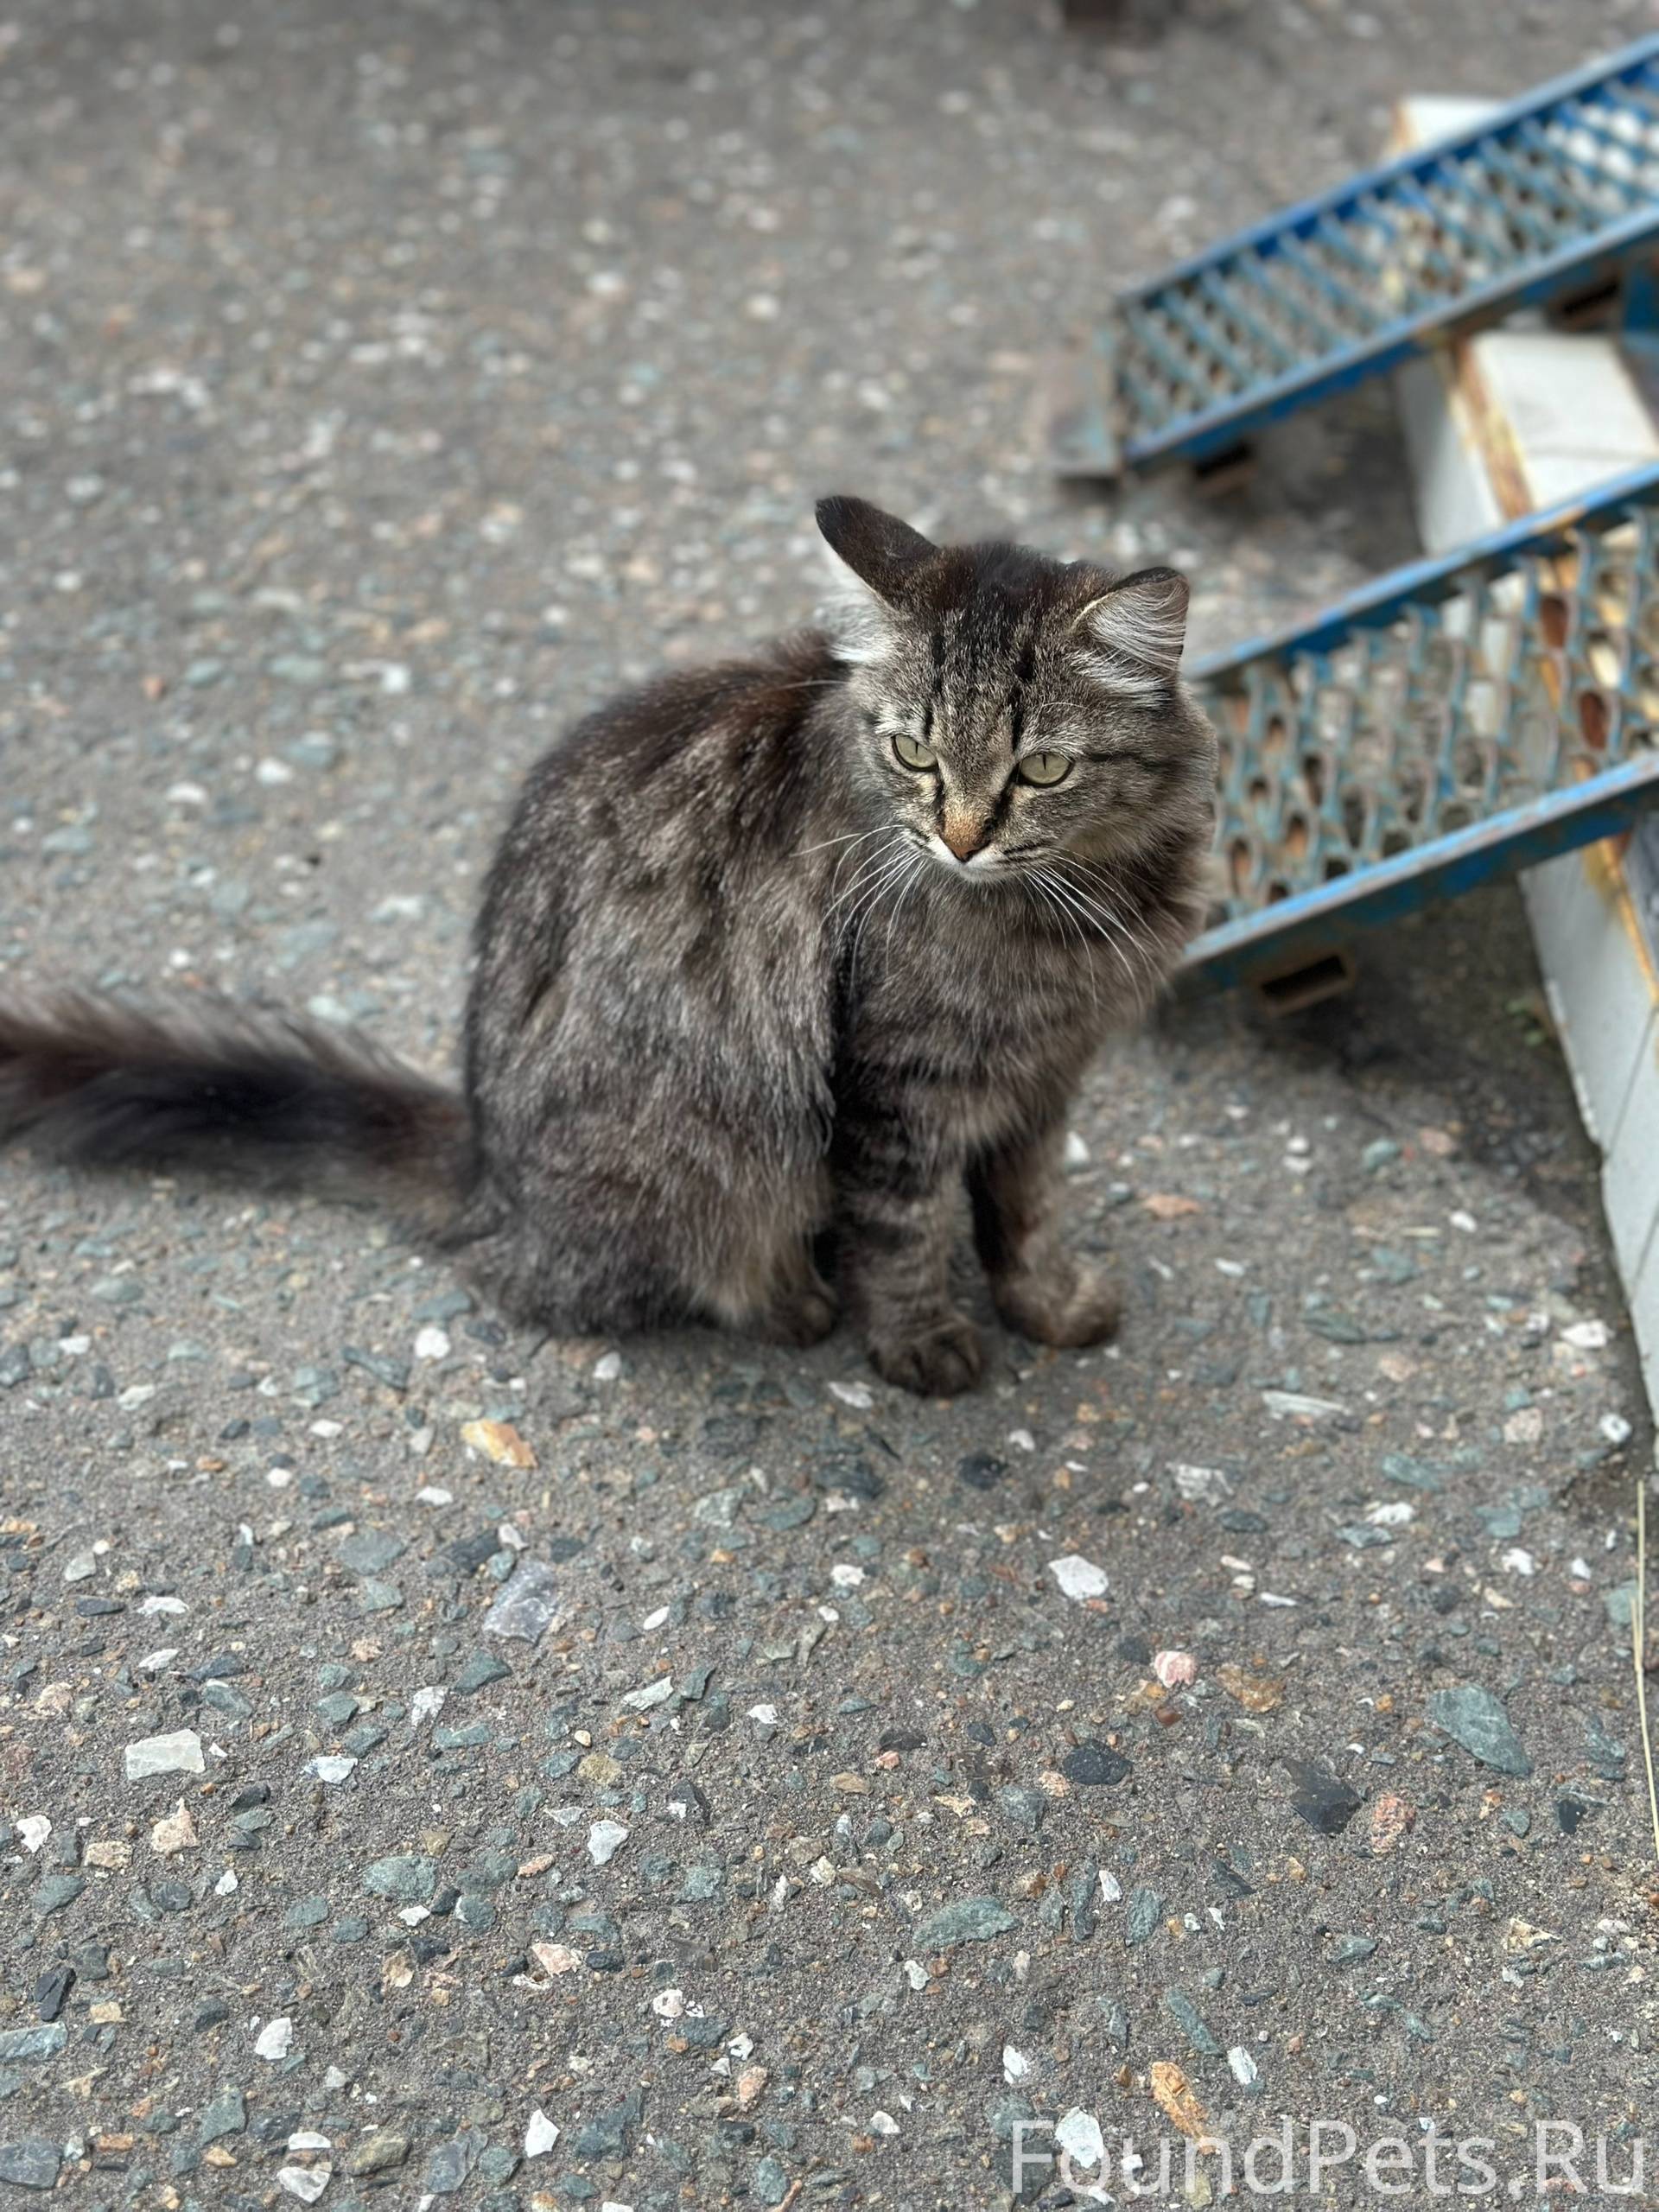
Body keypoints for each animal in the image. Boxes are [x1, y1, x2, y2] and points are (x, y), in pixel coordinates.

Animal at [0, 496, 1218, 1396]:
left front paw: (1047, 1305)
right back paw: (791, 1298)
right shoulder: (897, 1087)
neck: (1076, 908)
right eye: (913, 754)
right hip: (707, 1150)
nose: (960, 838)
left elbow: (1025, 1212)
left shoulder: (1046, 1080)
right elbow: (905, 1228)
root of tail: (490, 1168)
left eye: (1041, 769)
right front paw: (922, 1345)